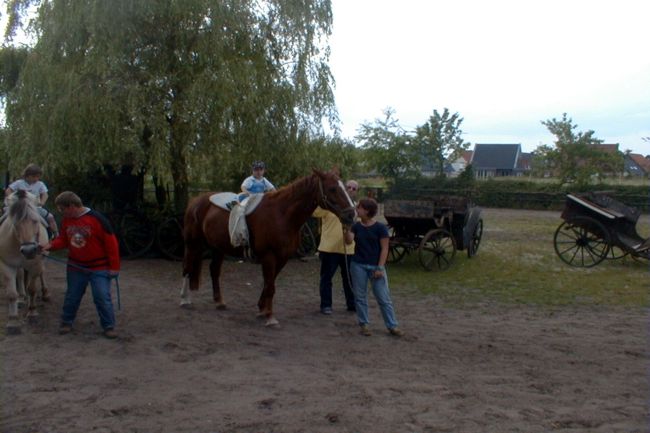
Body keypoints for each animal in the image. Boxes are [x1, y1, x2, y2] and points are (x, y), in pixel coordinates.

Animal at [0, 190, 48, 334]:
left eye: (35, 221)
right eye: (15, 224)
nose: (29, 250)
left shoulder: (36, 264)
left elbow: (32, 289)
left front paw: (32, 313)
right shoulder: (7, 265)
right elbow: (11, 293)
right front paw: (13, 321)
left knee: (41, 274)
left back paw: (45, 293)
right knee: (21, 276)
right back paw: (22, 298)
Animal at [180, 169, 354, 324]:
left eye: (345, 187)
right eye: (332, 188)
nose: (351, 215)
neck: (281, 214)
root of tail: (195, 201)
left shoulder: (282, 258)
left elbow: (269, 284)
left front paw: (262, 309)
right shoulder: (269, 256)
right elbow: (270, 286)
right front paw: (270, 317)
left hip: (218, 248)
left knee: (214, 271)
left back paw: (219, 301)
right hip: (192, 244)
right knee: (187, 268)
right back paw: (184, 300)